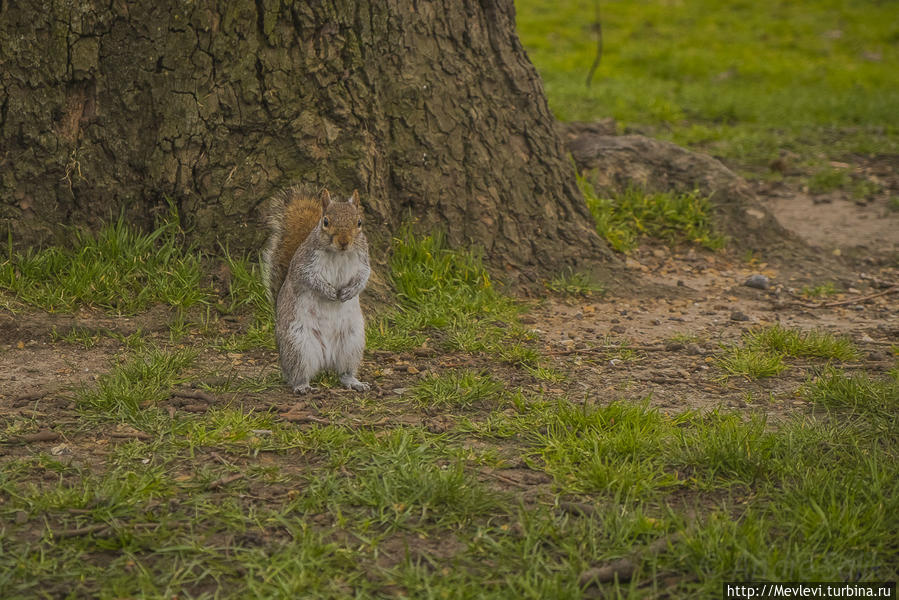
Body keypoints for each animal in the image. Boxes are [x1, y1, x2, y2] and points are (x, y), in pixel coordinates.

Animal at [262, 185, 370, 396]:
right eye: (325, 222)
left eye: (359, 222)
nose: (344, 241)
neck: (339, 254)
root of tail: (326, 359)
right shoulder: (304, 264)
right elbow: (309, 278)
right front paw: (328, 292)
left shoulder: (363, 260)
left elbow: (363, 277)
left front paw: (349, 292)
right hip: (299, 345)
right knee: (296, 373)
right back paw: (301, 386)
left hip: (352, 343)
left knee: (344, 372)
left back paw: (354, 382)